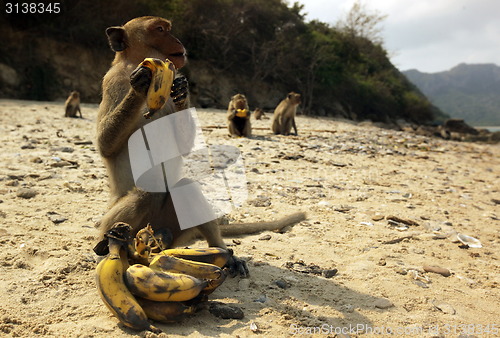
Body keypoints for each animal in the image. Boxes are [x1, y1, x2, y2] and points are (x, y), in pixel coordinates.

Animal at [94, 16, 304, 274]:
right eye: (160, 30)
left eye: (168, 29)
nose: (178, 41)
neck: (132, 62)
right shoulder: (112, 82)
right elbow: (105, 145)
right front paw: (141, 83)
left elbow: (183, 146)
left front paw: (182, 90)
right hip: (120, 221)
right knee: (145, 193)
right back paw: (109, 247)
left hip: (175, 231)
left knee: (187, 187)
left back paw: (222, 252)